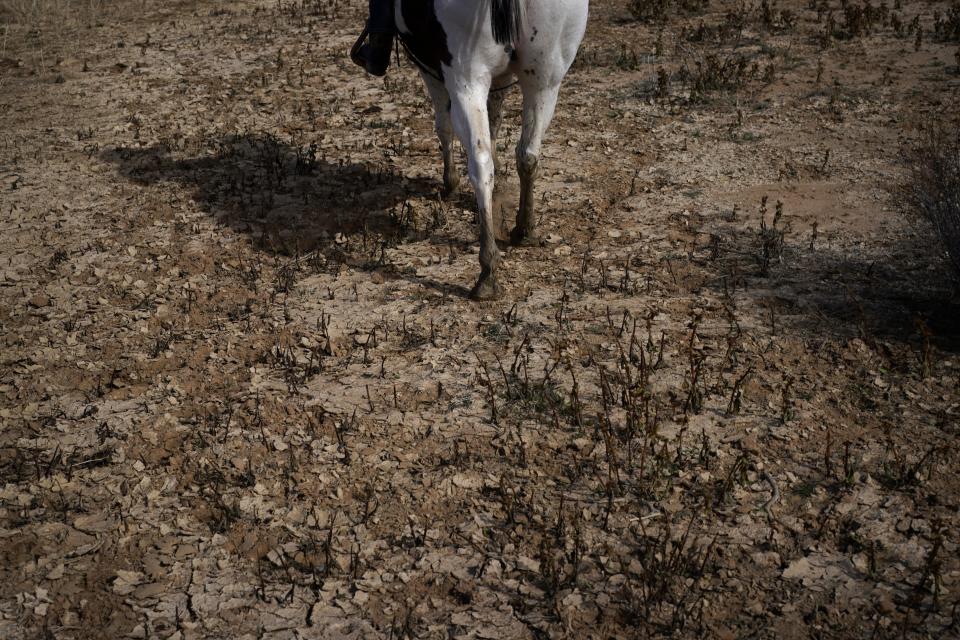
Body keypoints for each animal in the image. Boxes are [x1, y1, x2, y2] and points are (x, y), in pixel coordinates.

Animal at [394, 0, 588, 300]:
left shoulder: (429, 68)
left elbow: (444, 126)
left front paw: (450, 183)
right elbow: (495, 117)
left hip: (467, 80)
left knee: (481, 164)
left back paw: (487, 272)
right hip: (544, 81)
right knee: (528, 155)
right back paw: (525, 230)